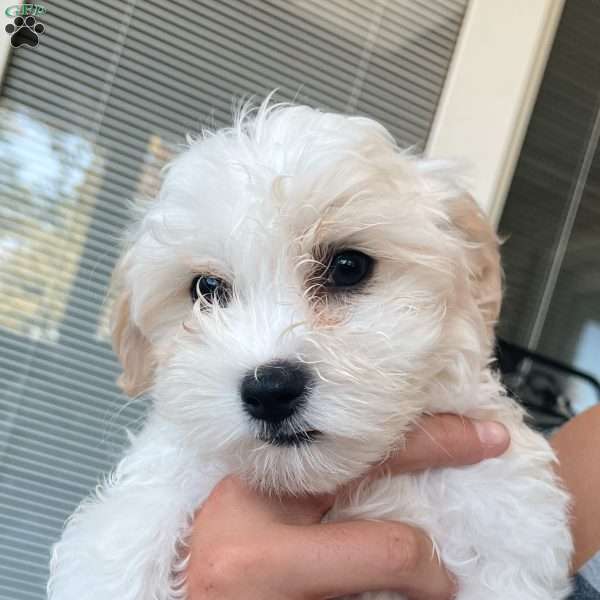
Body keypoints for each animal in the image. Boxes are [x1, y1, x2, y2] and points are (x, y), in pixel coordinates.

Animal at [47, 101, 572, 596]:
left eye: (348, 266)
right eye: (207, 289)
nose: (270, 390)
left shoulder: (504, 520)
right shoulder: (161, 484)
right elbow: (122, 537)